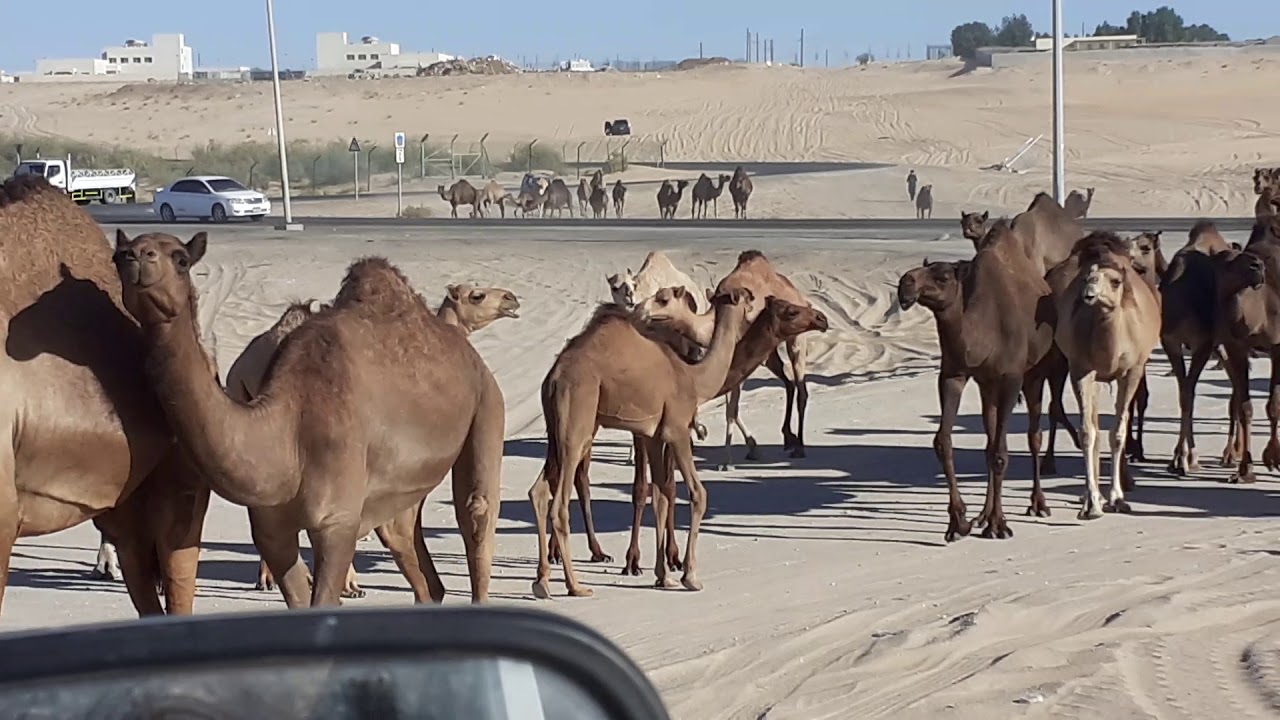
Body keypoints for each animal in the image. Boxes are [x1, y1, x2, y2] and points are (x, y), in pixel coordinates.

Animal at [528, 287, 755, 597]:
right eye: (746, 297)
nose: (755, 303)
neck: (693, 378)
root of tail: (554, 378)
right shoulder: (677, 430)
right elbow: (698, 494)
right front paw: (689, 576)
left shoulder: (653, 436)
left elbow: (661, 496)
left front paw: (664, 575)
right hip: (577, 421)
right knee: (560, 503)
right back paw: (576, 586)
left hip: (555, 429)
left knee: (539, 491)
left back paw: (541, 581)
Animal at [713, 250, 821, 469]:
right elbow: (730, 408)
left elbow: (731, 409)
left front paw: (727, 461)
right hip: (769, 355)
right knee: (789, 383)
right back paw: (789, 438)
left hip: (796, 341)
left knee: (801, 390)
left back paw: (799, 447)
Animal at [897, 220, 1060, 540]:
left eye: (943, 276)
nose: (905, 283)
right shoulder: (954, 374)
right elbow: (944, 441)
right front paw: (959, 522)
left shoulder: (1011, 377)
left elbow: (1000, 453)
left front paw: (1000, 524)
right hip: (988, 386)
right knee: (989, 439)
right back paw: (984, 515)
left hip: (1035, 373)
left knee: (1033, 434)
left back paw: (1037, 503)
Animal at [1055, 232, 1161, 518]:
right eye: (1086, 279)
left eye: (1115, 281)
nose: (1089, 294)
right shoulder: (1081, 369)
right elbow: (1087, 433)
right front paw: (1092, 502)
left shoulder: (1132, 370)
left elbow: (1118, 433)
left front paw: (1117, 497)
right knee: (1093, 427)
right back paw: (1088, 496)